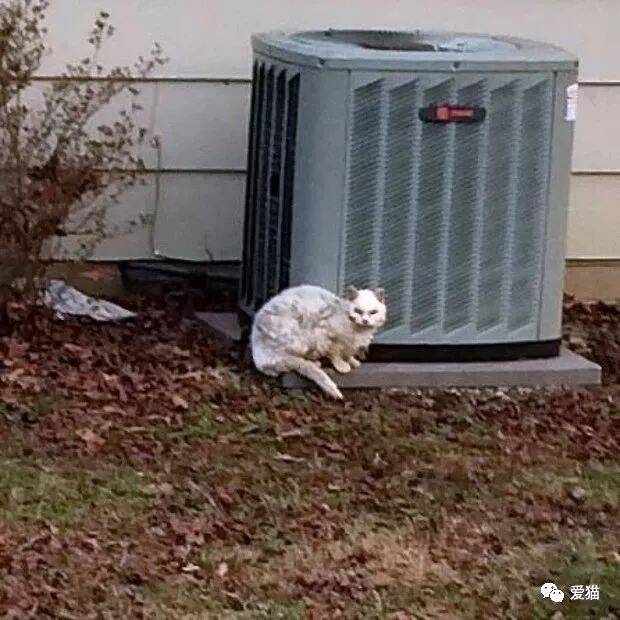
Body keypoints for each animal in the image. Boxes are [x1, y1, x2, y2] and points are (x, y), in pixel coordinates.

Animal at [249, 284, 386, 400]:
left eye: (373, 312)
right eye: (358, 311)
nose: (365, 320)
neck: (359, 332)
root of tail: (260, 360)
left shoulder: (351, 344)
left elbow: (348, 353)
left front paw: (353, 361)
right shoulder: (327, 335)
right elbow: (335, 353)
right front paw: (342, 365)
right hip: (299, 339)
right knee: (298, 361)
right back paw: (315, 363)